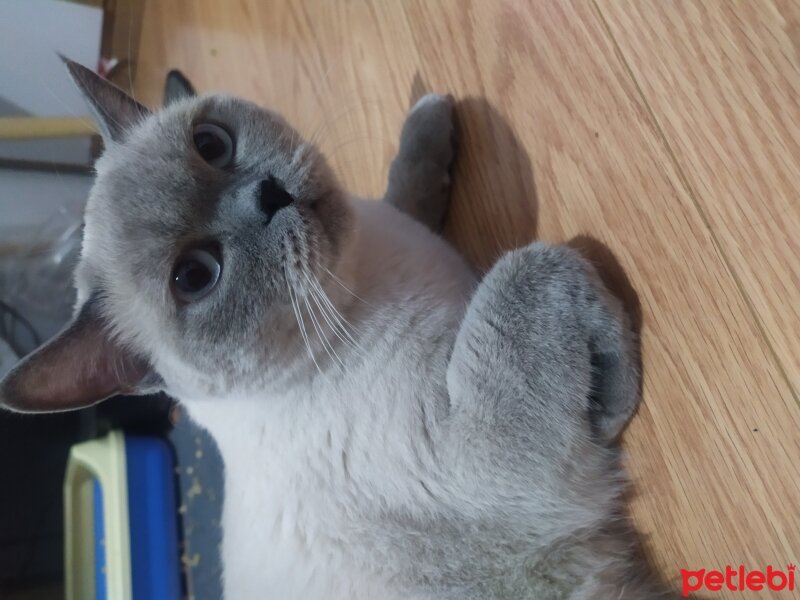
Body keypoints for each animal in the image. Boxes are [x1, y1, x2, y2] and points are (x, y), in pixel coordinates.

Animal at [0, 62, 676, 600]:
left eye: (211, 144)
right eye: (194, 276)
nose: (268, 195)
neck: (360, 286)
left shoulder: (396, 222)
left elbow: (406, 185)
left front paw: (431, 115)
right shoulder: (477, 452)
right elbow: (530, 268)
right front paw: (614, 382)